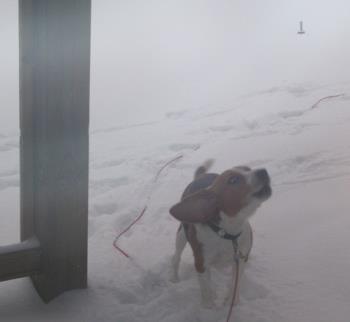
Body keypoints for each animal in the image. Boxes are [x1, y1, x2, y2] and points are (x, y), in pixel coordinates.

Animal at [168, 160, 272, 306]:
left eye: (248, 169)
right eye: (233, 180)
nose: (263, 172)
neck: (227, 233)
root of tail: (201, 177)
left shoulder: (240, 260)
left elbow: (235, 284)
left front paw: (231, 302)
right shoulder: (201, 264)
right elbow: (206, 293)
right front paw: (209, 307)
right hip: (181, 235)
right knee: (176, 257)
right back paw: (174, 277)